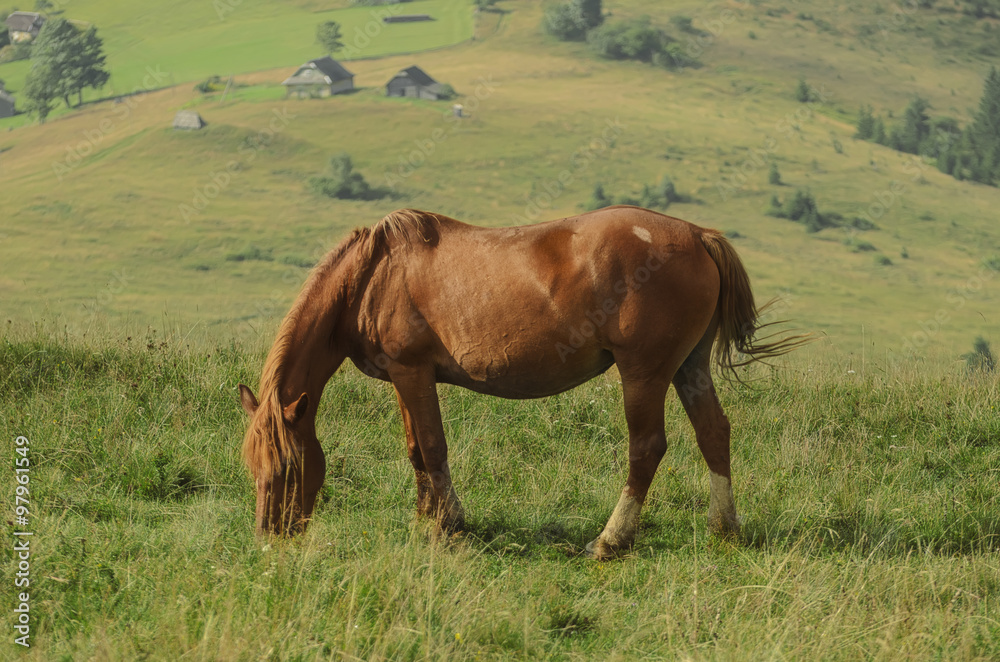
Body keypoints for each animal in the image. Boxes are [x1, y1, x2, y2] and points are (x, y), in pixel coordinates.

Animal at [236, 208, 804, 560]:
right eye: (252, 467)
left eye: (287, 468)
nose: (268, 538)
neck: (373, 276)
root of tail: (697, 235)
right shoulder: (402, 378)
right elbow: (416, 449)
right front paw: (425, 519)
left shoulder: (413, 372)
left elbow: (434, 447)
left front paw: (448, 525)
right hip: (689, 367)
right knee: (714, 433)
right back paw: (724, 528)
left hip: (643, 373)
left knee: (647, 448)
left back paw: (611, 541)